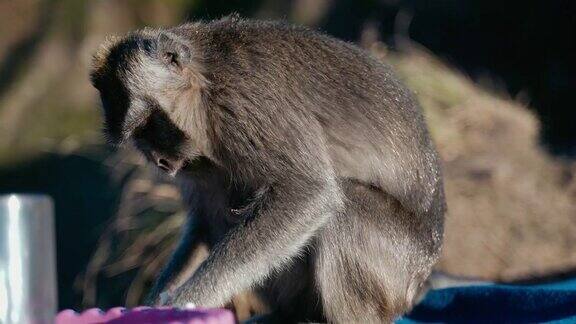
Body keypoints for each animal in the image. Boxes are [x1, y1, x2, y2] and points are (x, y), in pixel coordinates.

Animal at [91, 15, 446, 324]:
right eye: (139, 137)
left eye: (151, 125)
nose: (160, 162)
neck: (205, 83)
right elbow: (202, 225)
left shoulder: (246, 101)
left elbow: (309, 193)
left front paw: (182, 305)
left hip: (397, 268)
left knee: (349, 206)